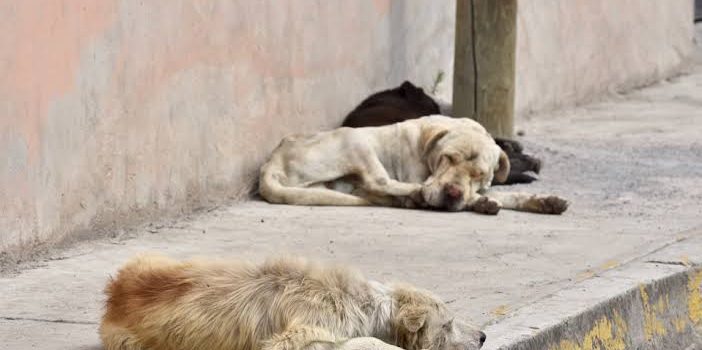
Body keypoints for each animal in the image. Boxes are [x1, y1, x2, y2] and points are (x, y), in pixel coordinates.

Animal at [262, 113, 568, 215]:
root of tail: (271, 163)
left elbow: (508, 195)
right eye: (449, 158)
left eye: (479, 174)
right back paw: (415, 194)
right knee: (379, 181)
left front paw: (544, 200)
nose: (453, 193)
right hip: (355, 139)